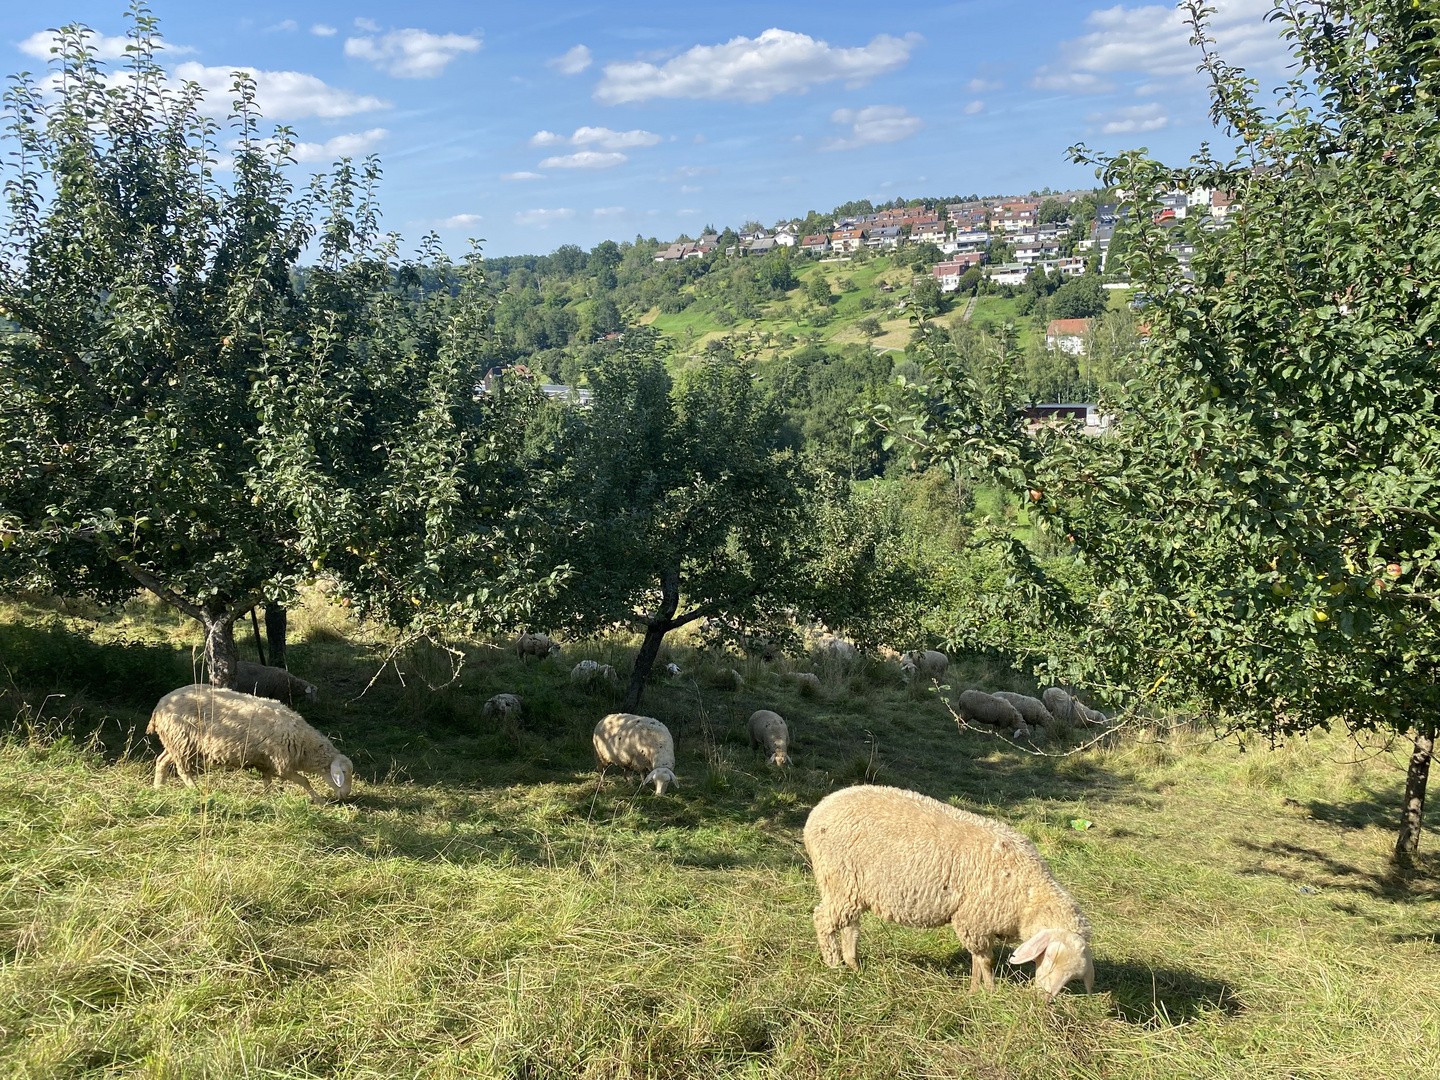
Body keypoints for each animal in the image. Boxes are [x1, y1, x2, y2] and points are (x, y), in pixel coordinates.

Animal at [147, 685, 355, 806]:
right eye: (343, 773)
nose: (346, 795)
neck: (304, 745)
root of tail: (160, 705)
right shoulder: (282, 764)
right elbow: (305, 781)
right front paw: (319, 801)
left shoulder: (267, 761)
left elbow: (267, 780)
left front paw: (268, 797)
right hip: (181, 740)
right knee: (183, 770)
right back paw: (195, 790)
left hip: (177, 741)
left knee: (162, 760)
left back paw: (158, 787)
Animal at [806, 783, 1094, 1002]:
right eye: (1051, 956)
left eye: (1074, 977)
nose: (1044, 998)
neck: (1027, 896)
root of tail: (819, 810)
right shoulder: (974, 920)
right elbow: (986, 961)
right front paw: (989, 992)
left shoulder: (980, 925)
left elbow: (978, 961)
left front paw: (975, 990)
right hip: (838, 879)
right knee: (823, 920)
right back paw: (834, 964)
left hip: (852, 888)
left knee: (850, 926)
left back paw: (854, 964)